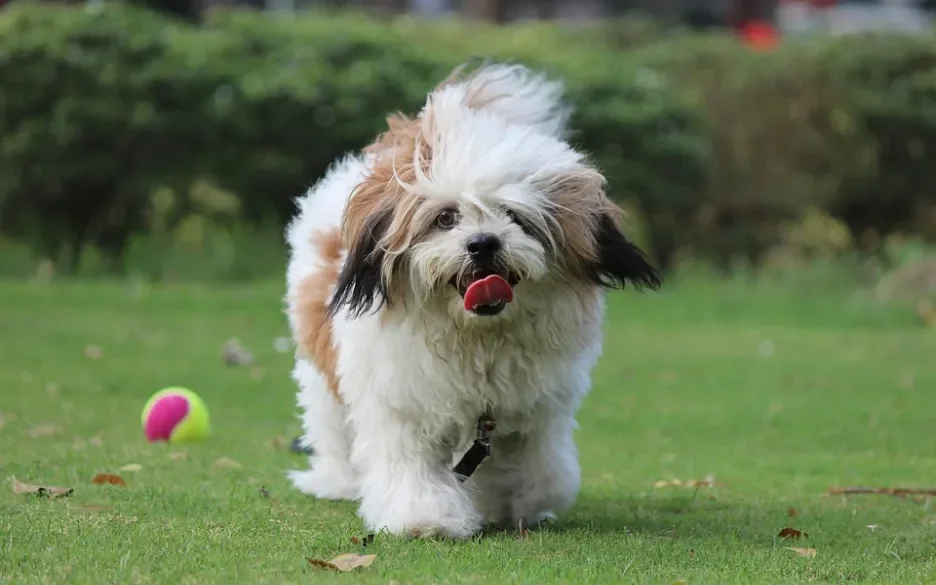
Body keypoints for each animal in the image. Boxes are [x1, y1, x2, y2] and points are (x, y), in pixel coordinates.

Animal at [284, 61, 660, 536]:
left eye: (515, 216)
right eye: (446, 218)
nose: (483, 243)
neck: (477, 335)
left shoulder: (533, 411)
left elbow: (540, 469)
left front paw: (513, 503)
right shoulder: (401, 401)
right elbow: (411, 465)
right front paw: (425, 517)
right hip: (324, 374)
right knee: (331, 425)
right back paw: (337, 481)